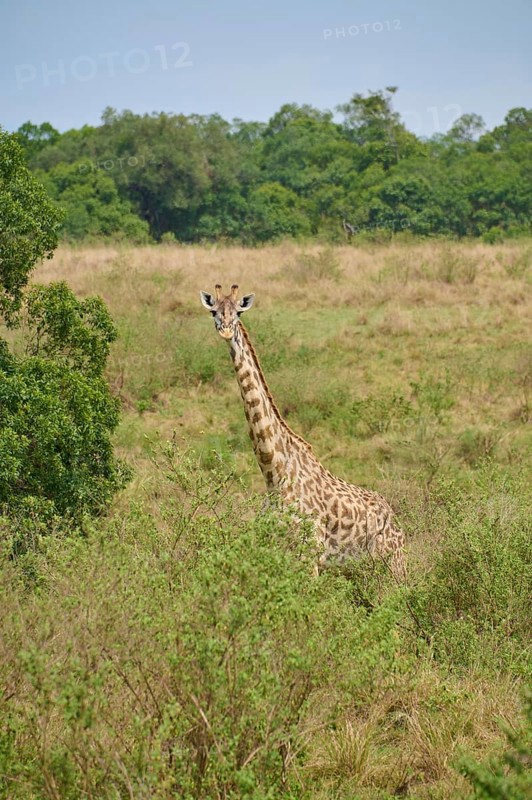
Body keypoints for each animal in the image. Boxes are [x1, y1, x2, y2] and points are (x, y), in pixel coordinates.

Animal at [199, 284, 406, 579]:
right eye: (214, 311)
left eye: (238, 312)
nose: (226, 331)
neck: (274, 472)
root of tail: (398, 525)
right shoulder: (274, 551)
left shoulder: (310, 555)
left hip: (393, 566)